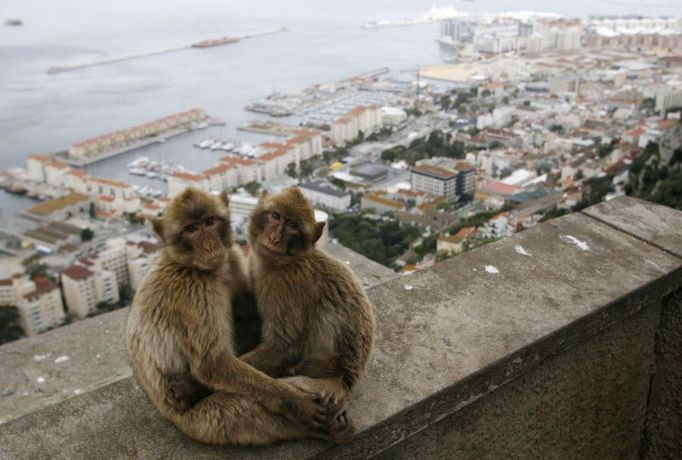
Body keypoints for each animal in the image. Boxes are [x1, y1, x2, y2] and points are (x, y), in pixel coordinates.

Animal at [125, 187, 350, 446]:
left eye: (209, 222)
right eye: (190, 229)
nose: (209, 245)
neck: (191, 265)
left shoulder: (230, 256)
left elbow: (248, 318)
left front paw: (189, 387)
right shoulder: (192, 289)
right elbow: (213, 365)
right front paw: (297, 405)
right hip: (203, 422)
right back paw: (325, 426)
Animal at [239, 189, 374, 412]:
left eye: (292, 226)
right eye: (275, 216)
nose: (274, 238)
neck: (287, 262)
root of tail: (344, 382)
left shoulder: (287, 287)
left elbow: (284, 347)